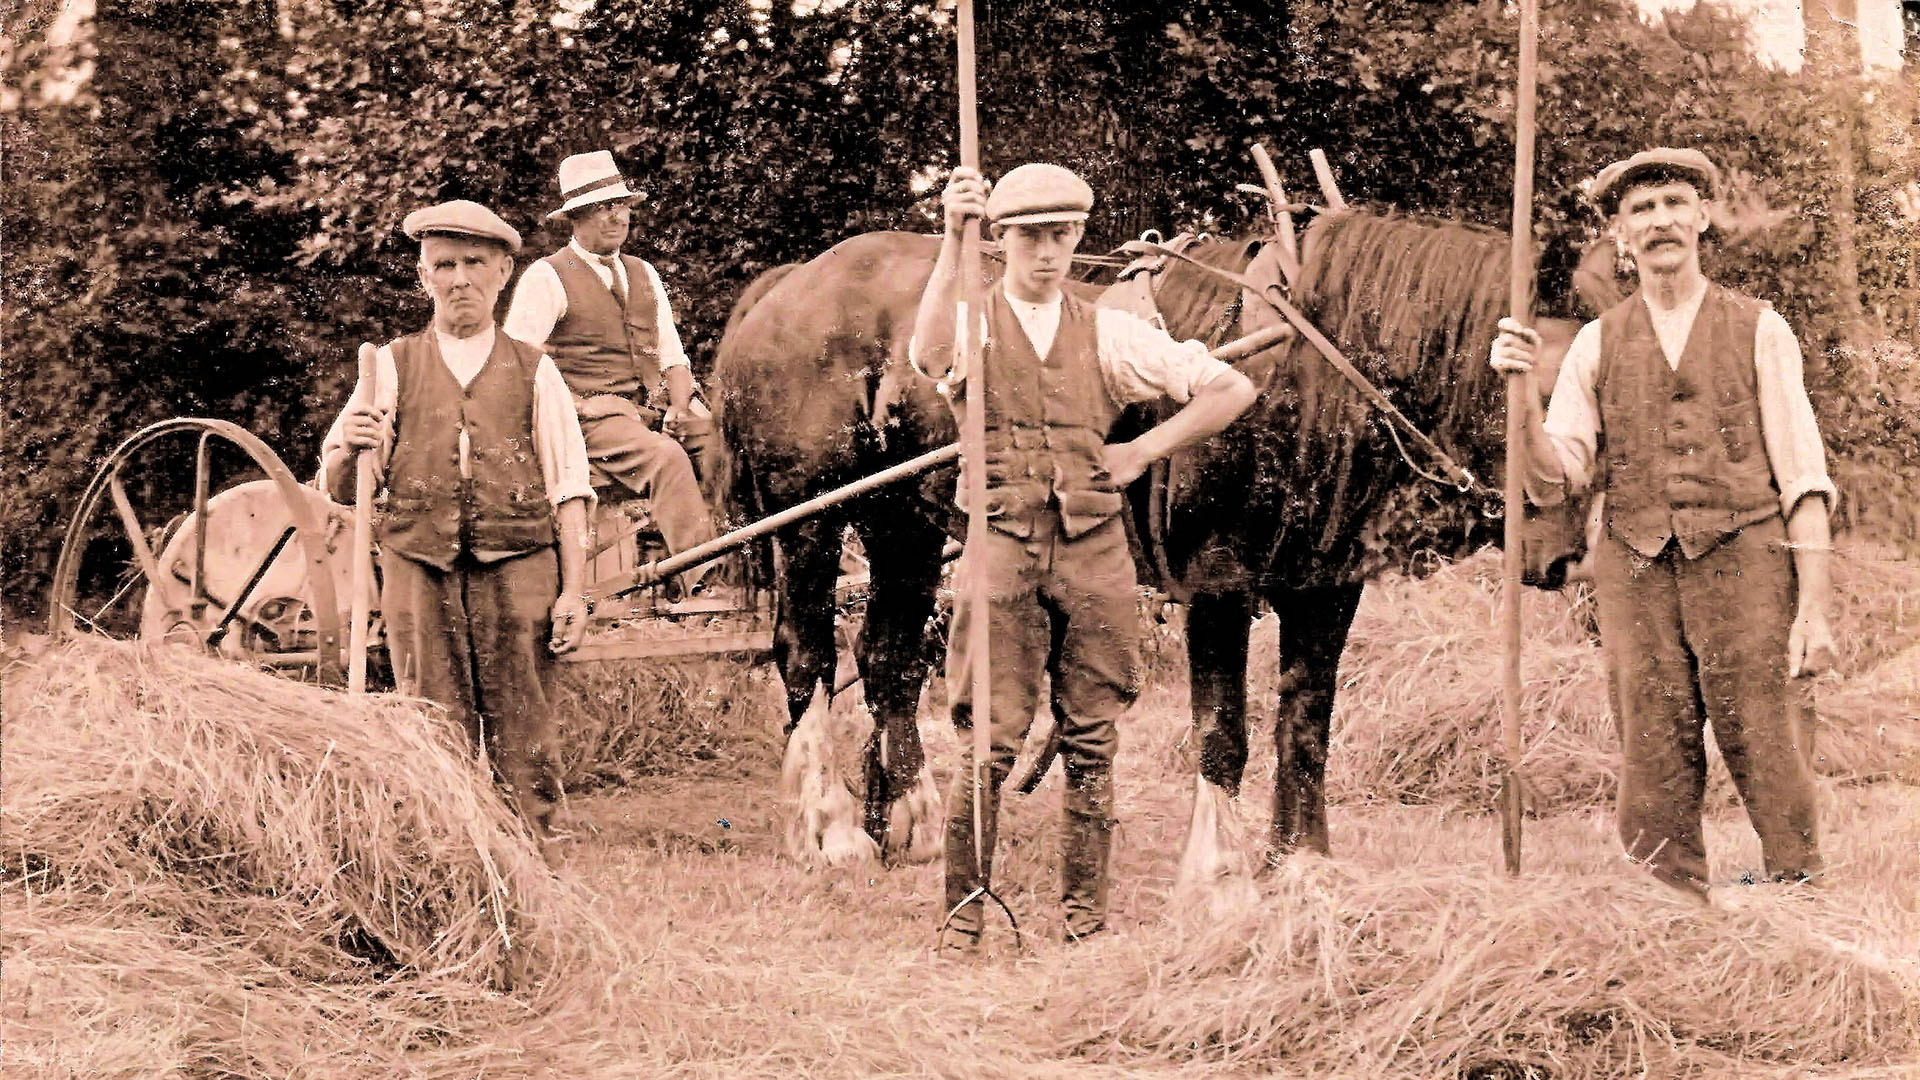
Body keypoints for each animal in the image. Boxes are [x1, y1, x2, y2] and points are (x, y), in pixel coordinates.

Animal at [706, 219, 1574, 864]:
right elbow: (1224, 734)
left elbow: (1305, 727)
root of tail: (790, 284)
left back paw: (907, 819)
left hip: (903, 522)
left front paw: (1302, 863)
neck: (1303, 371)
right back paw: (834, 827)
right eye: (1525, 394)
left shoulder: (1324, 587)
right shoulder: (1219, 583)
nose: (1559, 556)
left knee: (887, 657)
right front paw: (1221, 872)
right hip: (811, 517)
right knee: (807, 655)